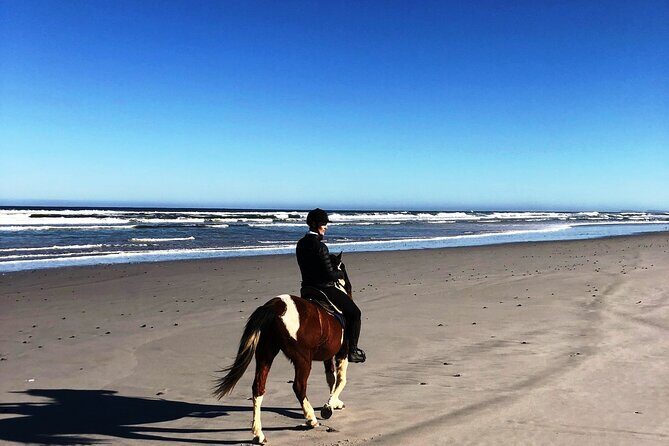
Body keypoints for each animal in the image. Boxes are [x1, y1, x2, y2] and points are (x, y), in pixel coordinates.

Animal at [213, 253, 353, 445]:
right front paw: (329, 406)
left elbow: (331, 378)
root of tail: (274, 306)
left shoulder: (327, 355)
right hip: (302, 359)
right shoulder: (342, 351)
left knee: (258, 388)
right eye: (343, 268)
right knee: (299, 386)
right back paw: (310, 418)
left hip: (265, 354)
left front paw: (334, 402)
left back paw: (258, 434)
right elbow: (341, 379)